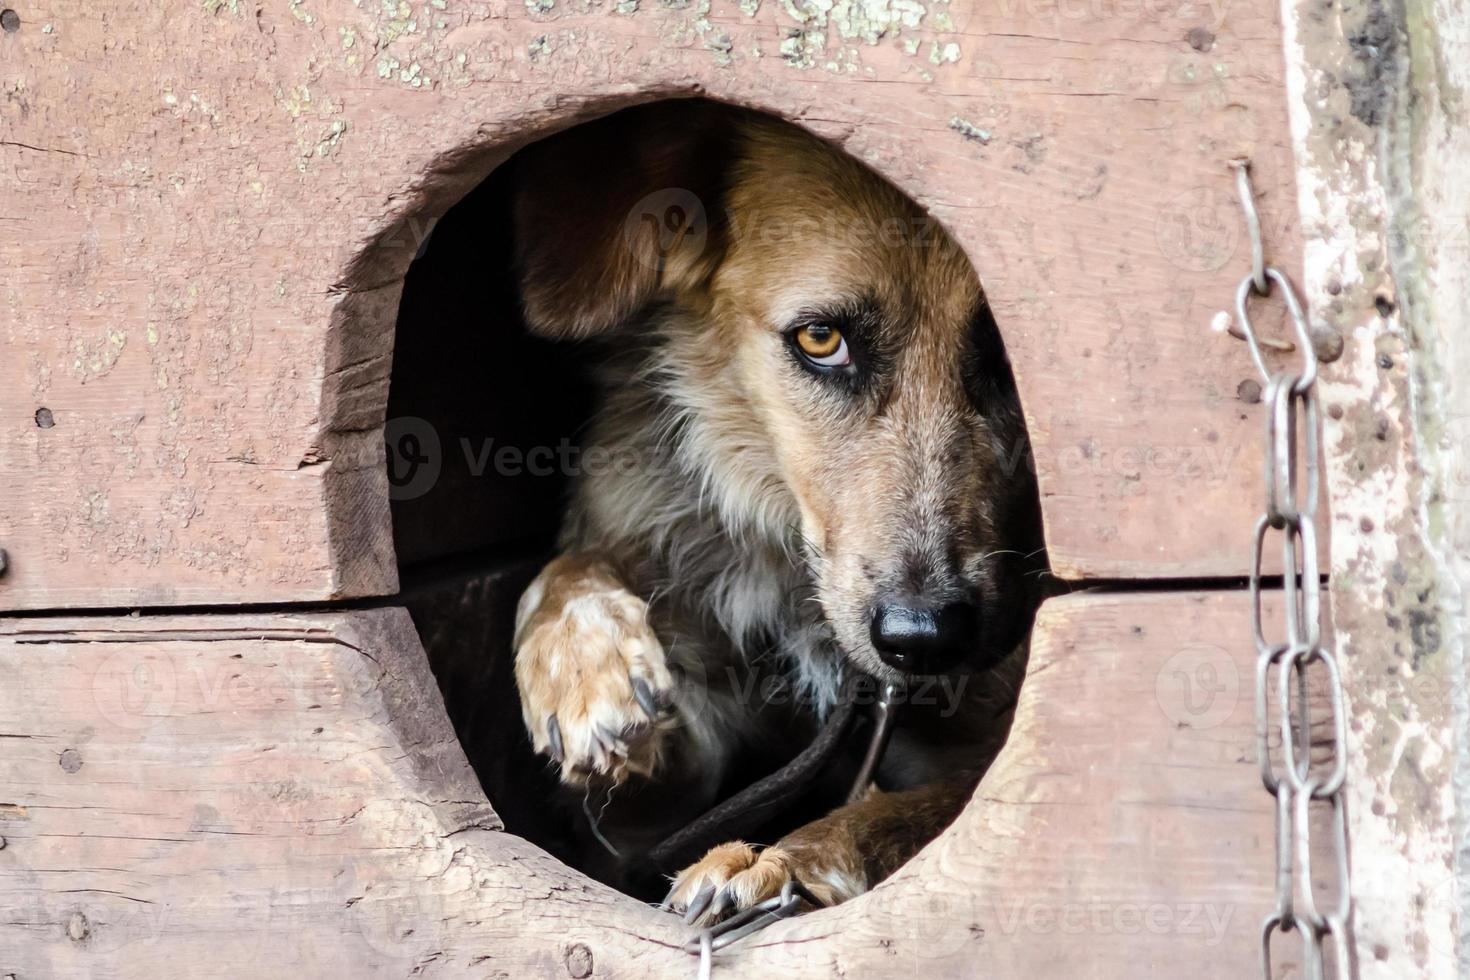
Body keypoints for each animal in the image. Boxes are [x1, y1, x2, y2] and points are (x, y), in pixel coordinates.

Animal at [505, 101, 1046, 928]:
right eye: (821, 339)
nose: (923, 639)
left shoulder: (986, 757)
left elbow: (905, 814)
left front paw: (778, 863)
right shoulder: (641, 827)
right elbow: (566, 569)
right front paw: (585, 669)